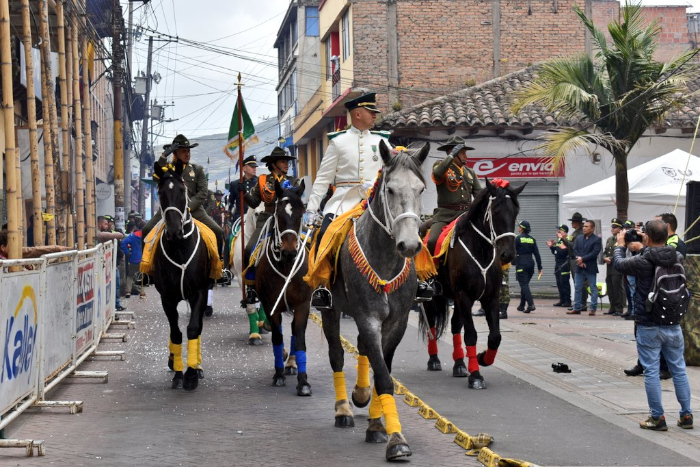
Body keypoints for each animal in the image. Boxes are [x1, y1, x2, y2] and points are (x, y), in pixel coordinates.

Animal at [150, 160, 211, 392]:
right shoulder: (167, 297)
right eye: (160, 193)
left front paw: (191, 374)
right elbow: (175, 332)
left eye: (182, 190)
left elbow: (193, 329)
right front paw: (178, 373)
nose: (174, 231)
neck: (179, 247)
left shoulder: (199, 293)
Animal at [254, 179, 312, 394]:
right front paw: (278, 375)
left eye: (301, 214)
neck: (286, 266)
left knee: (295, 331)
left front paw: (303, 382)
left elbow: (300, 337)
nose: (289, 252)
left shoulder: (303, 304)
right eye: (278, 215)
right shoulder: (272, 306)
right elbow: (277, 338)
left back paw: (292, 364)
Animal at [322, 140, 430, 460]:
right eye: (391, 190)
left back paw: (360, 395)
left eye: (421, 189)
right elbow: (382, 376)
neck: (385, 261)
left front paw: (377, 423)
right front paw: (395, 439)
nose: (410, 245)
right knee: (337, 355)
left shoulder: (397, 323)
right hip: (330, 309)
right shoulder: (368, 317)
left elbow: (383, 369)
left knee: (362, 350)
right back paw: (343, 410)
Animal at [418, 180, 524, 392]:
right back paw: (434, 360)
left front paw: (483, 358)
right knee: (432, 322)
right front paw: (476, 375)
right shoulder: (465, 296)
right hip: (433, 296)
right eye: (496, 211)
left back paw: (459, 364)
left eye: (515, 212)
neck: (481, 249)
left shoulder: (490, 297)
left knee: (455, 325)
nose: (508, 254)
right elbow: (471, 335)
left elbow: (495, 337)